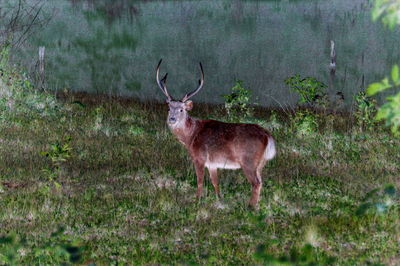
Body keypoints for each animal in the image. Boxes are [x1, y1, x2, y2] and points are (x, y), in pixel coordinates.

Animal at [155, 60, 276, 208]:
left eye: (182, 110)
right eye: (169, 108)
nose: (172, 119)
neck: (191, 136)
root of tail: (268, 136)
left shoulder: (199, 157)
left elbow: (200, 181)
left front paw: (196, 201)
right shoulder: (212, 163)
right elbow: (215, 182)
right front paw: (220, 200)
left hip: (248, 160)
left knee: (256, 183)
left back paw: (250, 207)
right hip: (261, 163)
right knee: (261, 182)